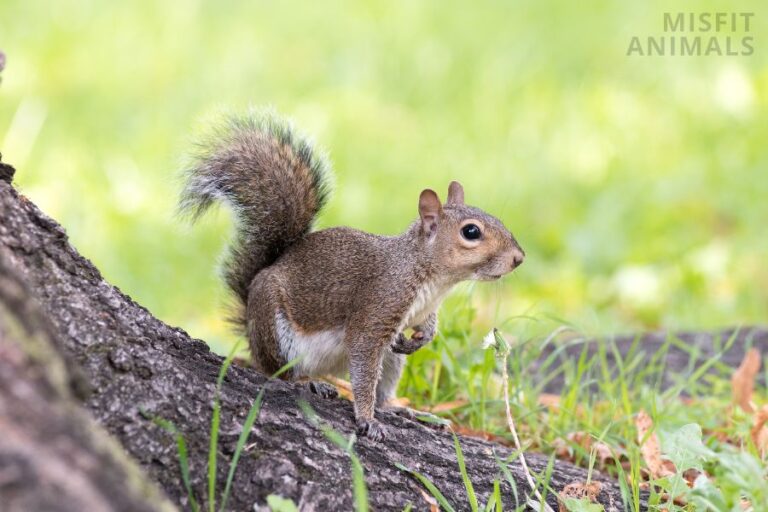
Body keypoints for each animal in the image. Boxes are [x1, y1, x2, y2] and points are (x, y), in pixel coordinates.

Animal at [179, 109, 524, 441]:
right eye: (471, 232)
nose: (518, 258)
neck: (432, 279)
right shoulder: (379, 307)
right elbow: (362, 360)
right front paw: (366, 419)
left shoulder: (420, 312)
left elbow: (426, 329)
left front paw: (421, 339)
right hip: (274, 327)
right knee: (277, 371)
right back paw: (308, 382)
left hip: (390, 360)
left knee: (383, 385)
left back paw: (400, 408)